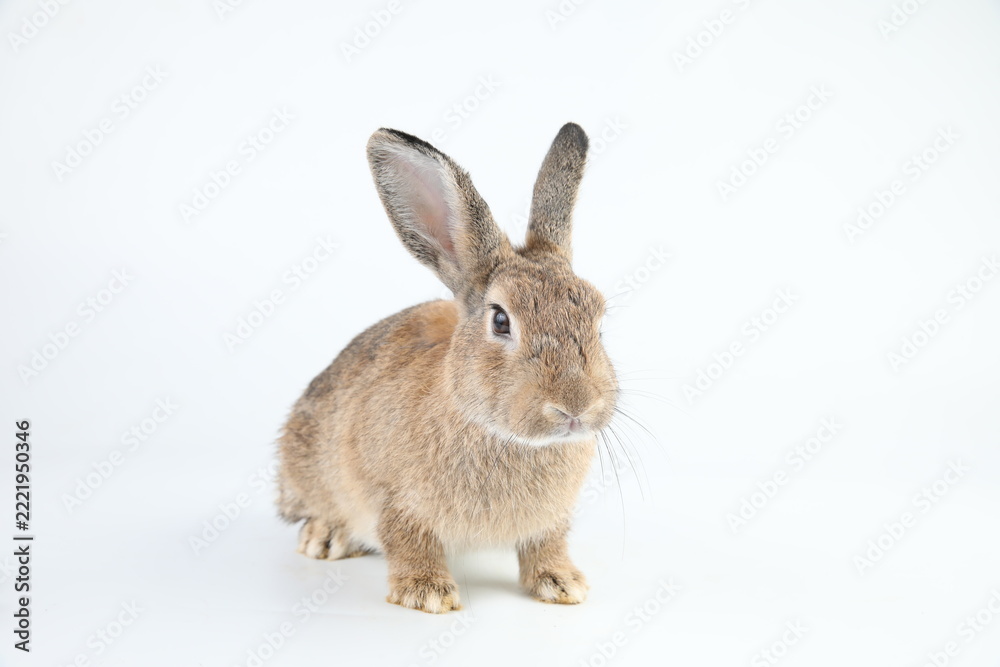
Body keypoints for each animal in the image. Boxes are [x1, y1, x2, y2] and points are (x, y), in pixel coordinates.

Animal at [276, 122, 618, 614]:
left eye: (598, 321)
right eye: (501, 321)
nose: (575, 406)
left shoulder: (551, 522)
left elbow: (546, 544)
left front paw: (563, 583)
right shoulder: (394, 500)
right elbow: (407, 540)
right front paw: (426, 592)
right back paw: (325, 538)